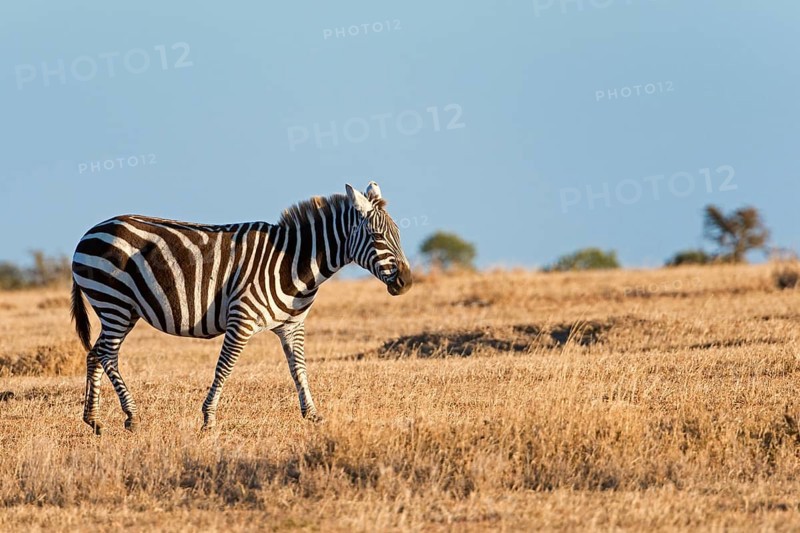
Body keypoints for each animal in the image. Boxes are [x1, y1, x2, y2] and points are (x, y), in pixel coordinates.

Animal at [70, 182, 412, 434]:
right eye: (377, 236)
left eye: (399, 235)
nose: (406, 282)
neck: (293, 262)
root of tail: (89, 231)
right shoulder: (241, 319)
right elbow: (225, 367)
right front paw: (208, 418)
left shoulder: (292, 325)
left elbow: (299, 369)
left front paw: (313, 414)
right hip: (114, 301)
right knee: (108, 355)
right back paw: (131, 416)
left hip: (122, 309)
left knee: (95, 353)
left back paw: (94, 420)